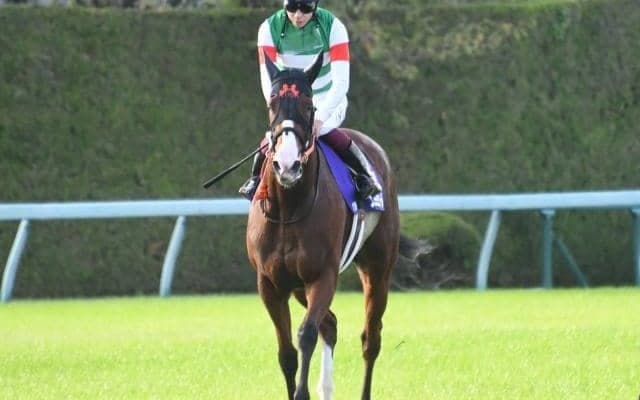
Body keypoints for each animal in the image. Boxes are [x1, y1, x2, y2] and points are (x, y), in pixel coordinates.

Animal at [245, 53, 421, 400]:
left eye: (308, 104)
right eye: (272, 103)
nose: (287, 164)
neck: (289, 208)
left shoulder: (322, 275)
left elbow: (306, 334)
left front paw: (302, 393)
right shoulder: (270, 283)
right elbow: (287, 352)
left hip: (377, 269)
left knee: (370, 338)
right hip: (298, 287)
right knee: (331, 324)